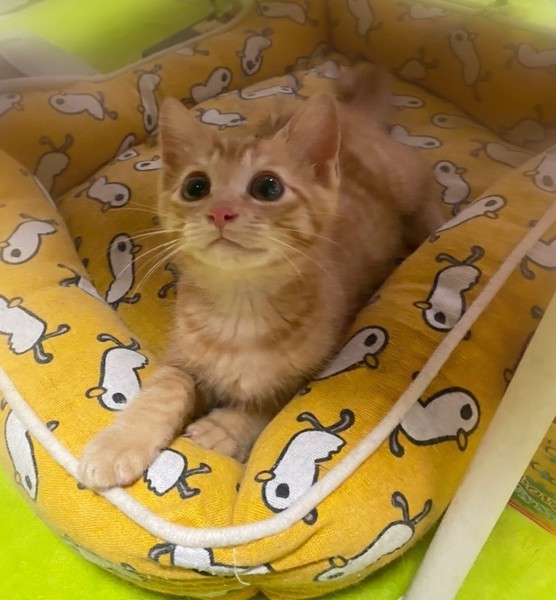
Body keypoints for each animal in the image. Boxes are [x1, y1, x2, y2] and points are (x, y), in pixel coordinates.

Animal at [78, 64, 443, 489]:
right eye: (196, 186)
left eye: (268, 187)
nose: (220, 211)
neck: (240, 309)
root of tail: (351, 113)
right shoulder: (181, 356)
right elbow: (167, 387)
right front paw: (119, 444)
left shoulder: (310, 370)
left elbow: (268, 404)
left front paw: (223, 428)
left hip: (404, 178)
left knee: (427, 190)